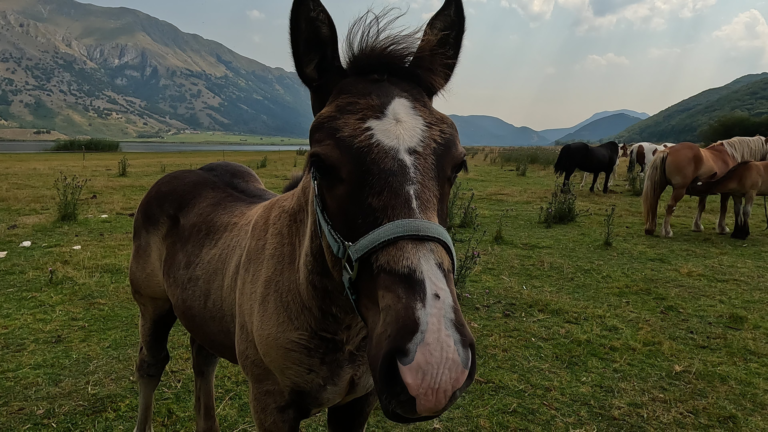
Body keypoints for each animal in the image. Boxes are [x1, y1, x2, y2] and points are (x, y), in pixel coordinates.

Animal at [129, 1, 476, 431]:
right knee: (150, 365)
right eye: (321, 164)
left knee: (202, 357)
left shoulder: (358, 402)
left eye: (458, 164)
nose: (434, 363)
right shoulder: (271, 405)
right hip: (152, 305)